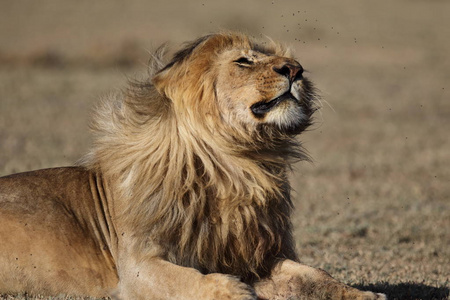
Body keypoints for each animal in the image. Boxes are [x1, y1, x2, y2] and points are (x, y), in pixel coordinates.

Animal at [0, 32, 386, 300]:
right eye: (244, 61)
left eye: (287, 61)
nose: (295, 69)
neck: (235, 164)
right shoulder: (136, 265)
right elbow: (189, 279)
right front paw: (237, 292)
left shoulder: (256, 254)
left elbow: (315, 275)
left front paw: (364, 294)